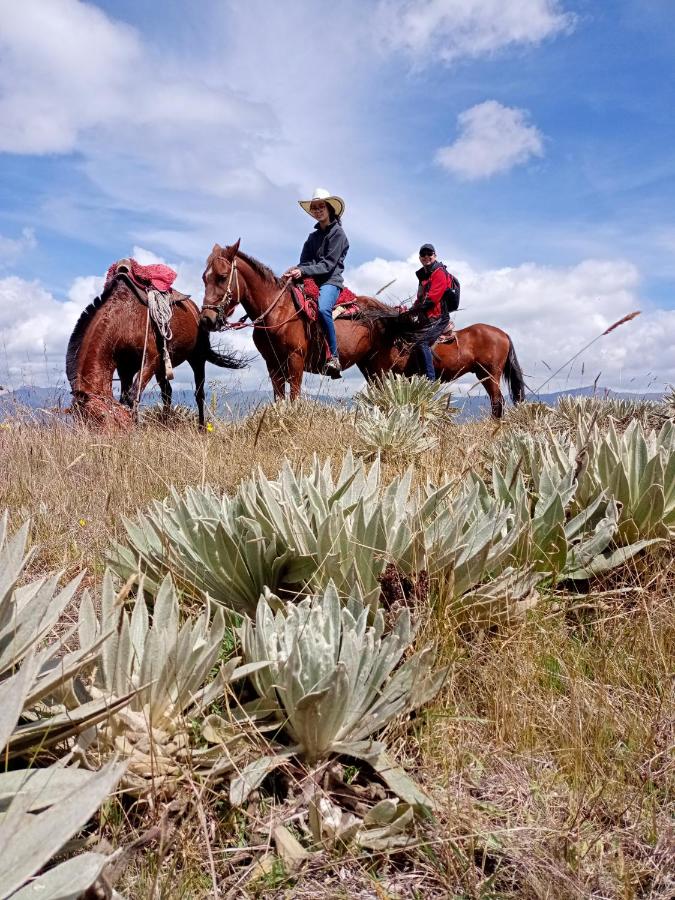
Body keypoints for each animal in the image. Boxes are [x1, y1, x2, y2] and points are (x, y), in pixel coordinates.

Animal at [65, 276, 243, 428]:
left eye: (100, 417)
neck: (123, 321)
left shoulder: (149, 361)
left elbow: (133, 396)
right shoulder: (125, 369)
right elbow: (125, 397)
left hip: (196, 358)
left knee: (199, 394)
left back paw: (201, 428)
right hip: (162, 368)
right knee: (167, 393)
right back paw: (166, 424)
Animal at [201, 243, 528, 418]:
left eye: (222, 276)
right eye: (204, 277)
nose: (207, 320)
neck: (280, 310)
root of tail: (503, 334)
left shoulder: (294, 361)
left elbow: (293, 398)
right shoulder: (273, 365)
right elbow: (279, 399)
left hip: (487, 374)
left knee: (497, 403)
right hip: (374, 369)